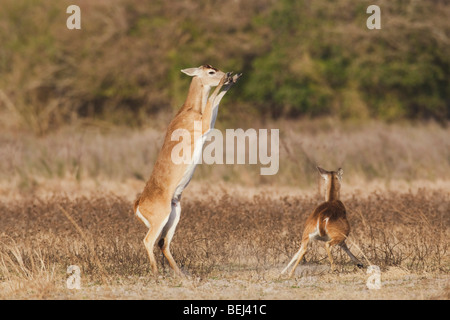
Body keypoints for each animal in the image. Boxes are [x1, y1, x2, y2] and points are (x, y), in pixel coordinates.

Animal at [133, 64, 241, 276]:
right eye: (210, 71)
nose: (226, 74)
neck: (189, 109)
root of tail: (138, 205)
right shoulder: (205, 123)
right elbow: (213, 99)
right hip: (161, 218)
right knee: (149, 241)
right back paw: (156, 273)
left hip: (174, 214)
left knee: (163, 243)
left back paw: (181, 274)